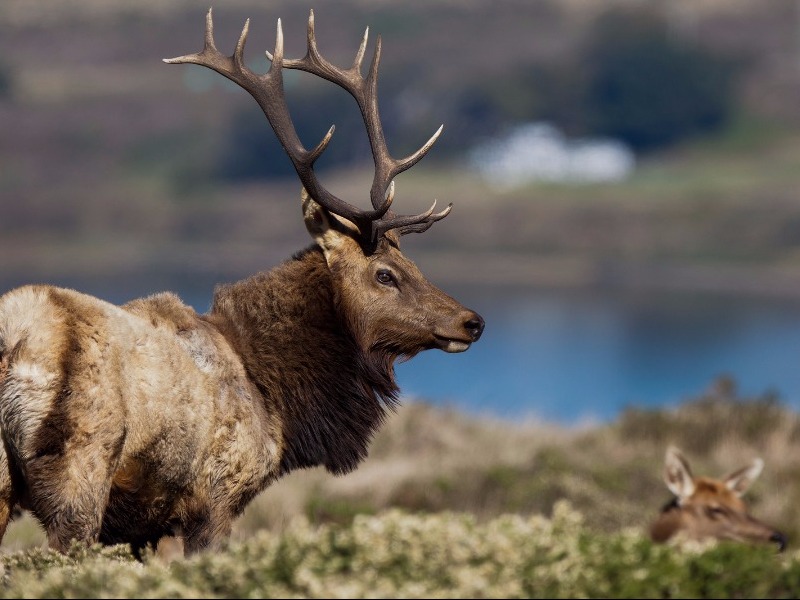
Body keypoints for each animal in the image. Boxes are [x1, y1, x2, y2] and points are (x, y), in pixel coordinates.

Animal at [0, 8, 482, 556]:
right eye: (386, 274)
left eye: (415, 266)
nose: (472, 321)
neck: (278, 399)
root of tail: (16, 340)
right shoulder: (216, 497)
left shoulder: (139, 528)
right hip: (79, 472)